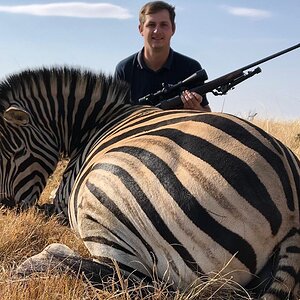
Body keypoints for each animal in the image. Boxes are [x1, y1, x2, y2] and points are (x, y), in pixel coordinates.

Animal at [0, 67, 298, 298]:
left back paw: (37, 261)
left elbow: (48, 205)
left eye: (14, 154)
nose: (5, 208)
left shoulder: (65, 200)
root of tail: (292, 208)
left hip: (106, 189)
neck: (93, 124)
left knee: (135, 281)